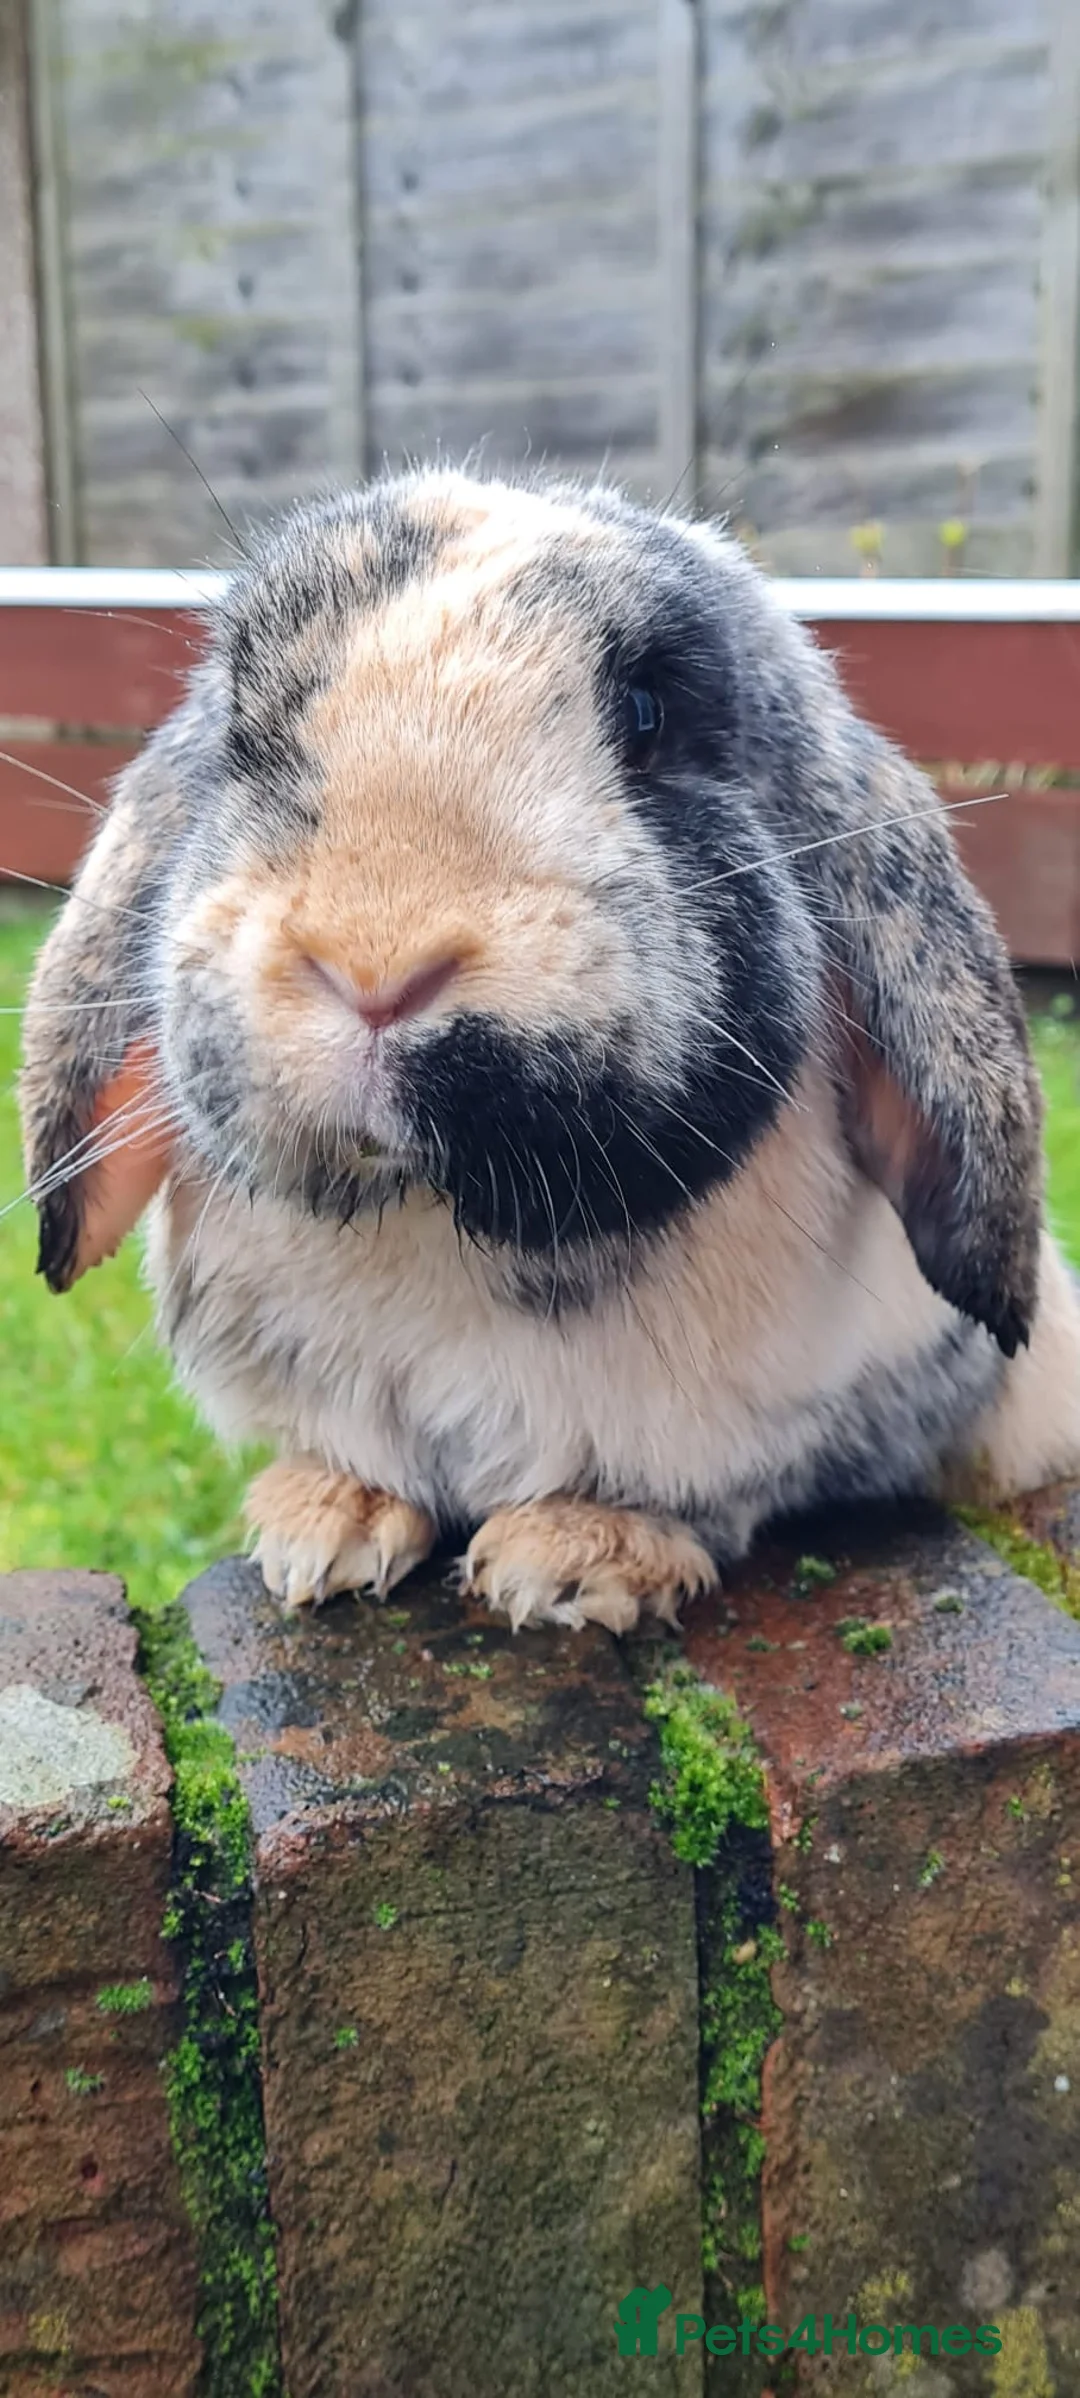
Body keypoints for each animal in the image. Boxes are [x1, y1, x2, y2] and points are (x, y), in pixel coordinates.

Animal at [19, 467, 1080, 1634]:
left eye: (648, 715)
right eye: (242, 719)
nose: (375, 961)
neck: (438, 1230)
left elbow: (715, 1492)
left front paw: (575, 1564)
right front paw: (319, 1528)